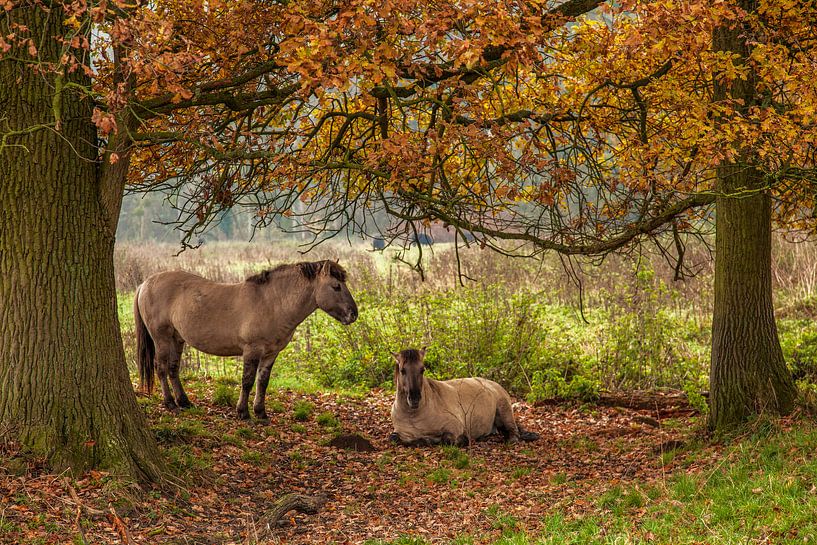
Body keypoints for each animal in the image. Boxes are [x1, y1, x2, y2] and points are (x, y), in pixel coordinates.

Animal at [134, 262, 356, 418]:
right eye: (336, 286)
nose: (353, 314)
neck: (272, 303)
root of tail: (145, 283)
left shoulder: (271, 353)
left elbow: (262, 382)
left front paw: (261, 412)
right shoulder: (252, 350)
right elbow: (247, 381)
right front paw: (243, 412)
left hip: (177, 339)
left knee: (173, 369)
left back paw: (184, 402)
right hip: (162, 338)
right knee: (161, 368)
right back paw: (170, 403)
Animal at [390, 348, 540, 446]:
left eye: (422, 370)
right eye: (403, 370)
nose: (415, 399)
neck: (414, 415)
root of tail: (494, 384)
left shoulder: (454, 427)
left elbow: (447, 439)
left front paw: (462, 440)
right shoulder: (402, 433)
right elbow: (395, 438)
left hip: (505, 411)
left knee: (513, 431)